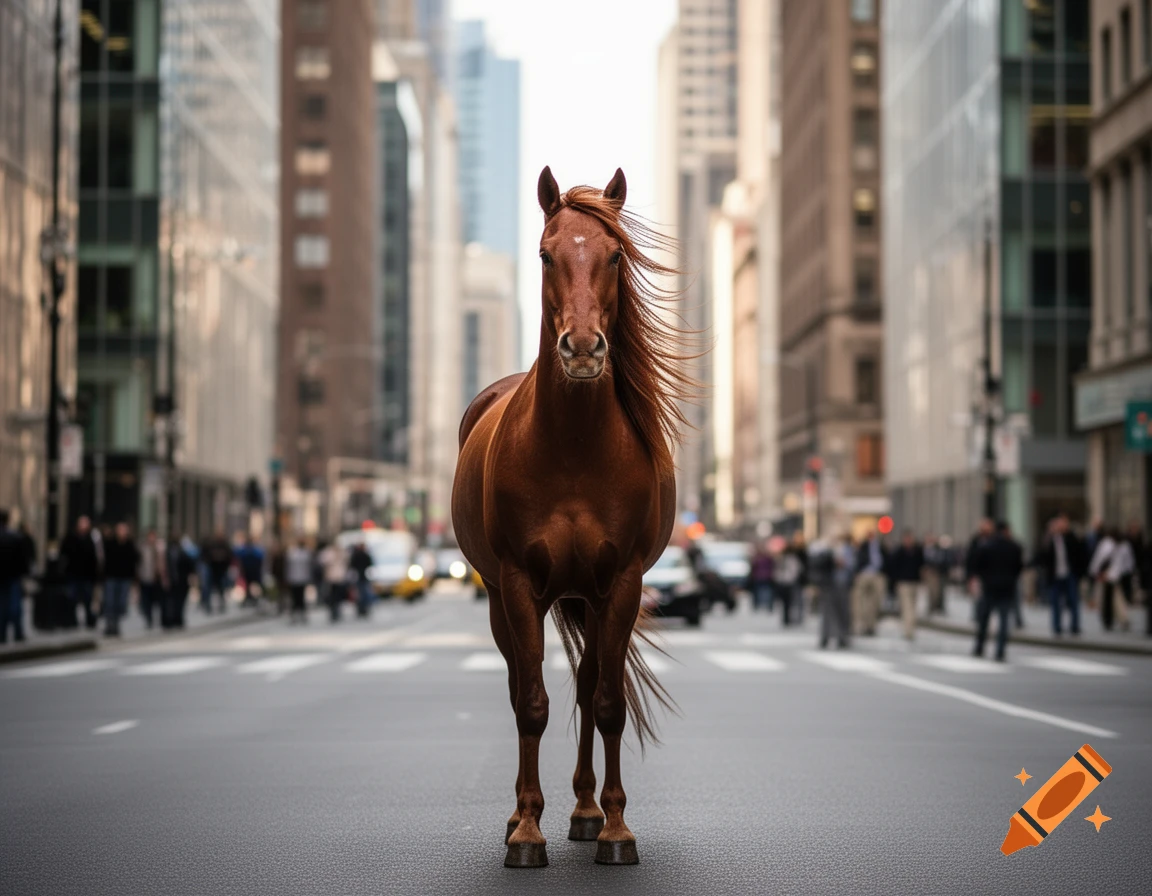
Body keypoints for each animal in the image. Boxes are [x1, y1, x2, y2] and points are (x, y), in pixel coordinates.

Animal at [451, 166, 697, 868]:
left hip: (586, 594)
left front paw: (614, 828)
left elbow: (608, 702)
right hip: (502, 597)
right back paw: (520, 814)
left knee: (589, 687)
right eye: (544, 253)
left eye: (614, 255)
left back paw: (586, 811)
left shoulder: (622, 583)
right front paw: (527, 832)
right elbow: (531, 703)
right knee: (518, 685)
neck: (574, 448)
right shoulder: (516, 582)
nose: (584, 348)